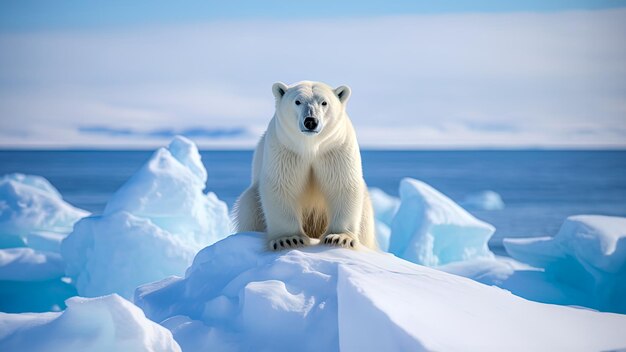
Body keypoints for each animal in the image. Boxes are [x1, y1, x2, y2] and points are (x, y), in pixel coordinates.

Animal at [232, 80, 372, 250]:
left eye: (324, 102)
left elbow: (342, 184)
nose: (311, 121)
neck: (310, 146)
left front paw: (339, 237)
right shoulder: (285, 149)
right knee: (248, 208)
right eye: (297, 101)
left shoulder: (335, 149)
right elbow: (281, 186)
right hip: (252, 202)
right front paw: (288, 239)